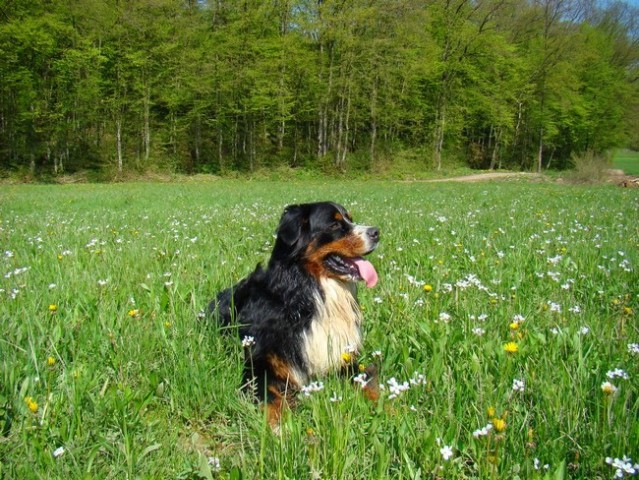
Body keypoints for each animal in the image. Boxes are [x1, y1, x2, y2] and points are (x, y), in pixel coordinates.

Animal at [210, 201, 380, 426]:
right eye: (335, 225)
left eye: (350, 219)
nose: (376, 232)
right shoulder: (260, 363)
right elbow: (270, 398)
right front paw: (280, 426)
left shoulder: (342, 358)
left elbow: (367, 383)